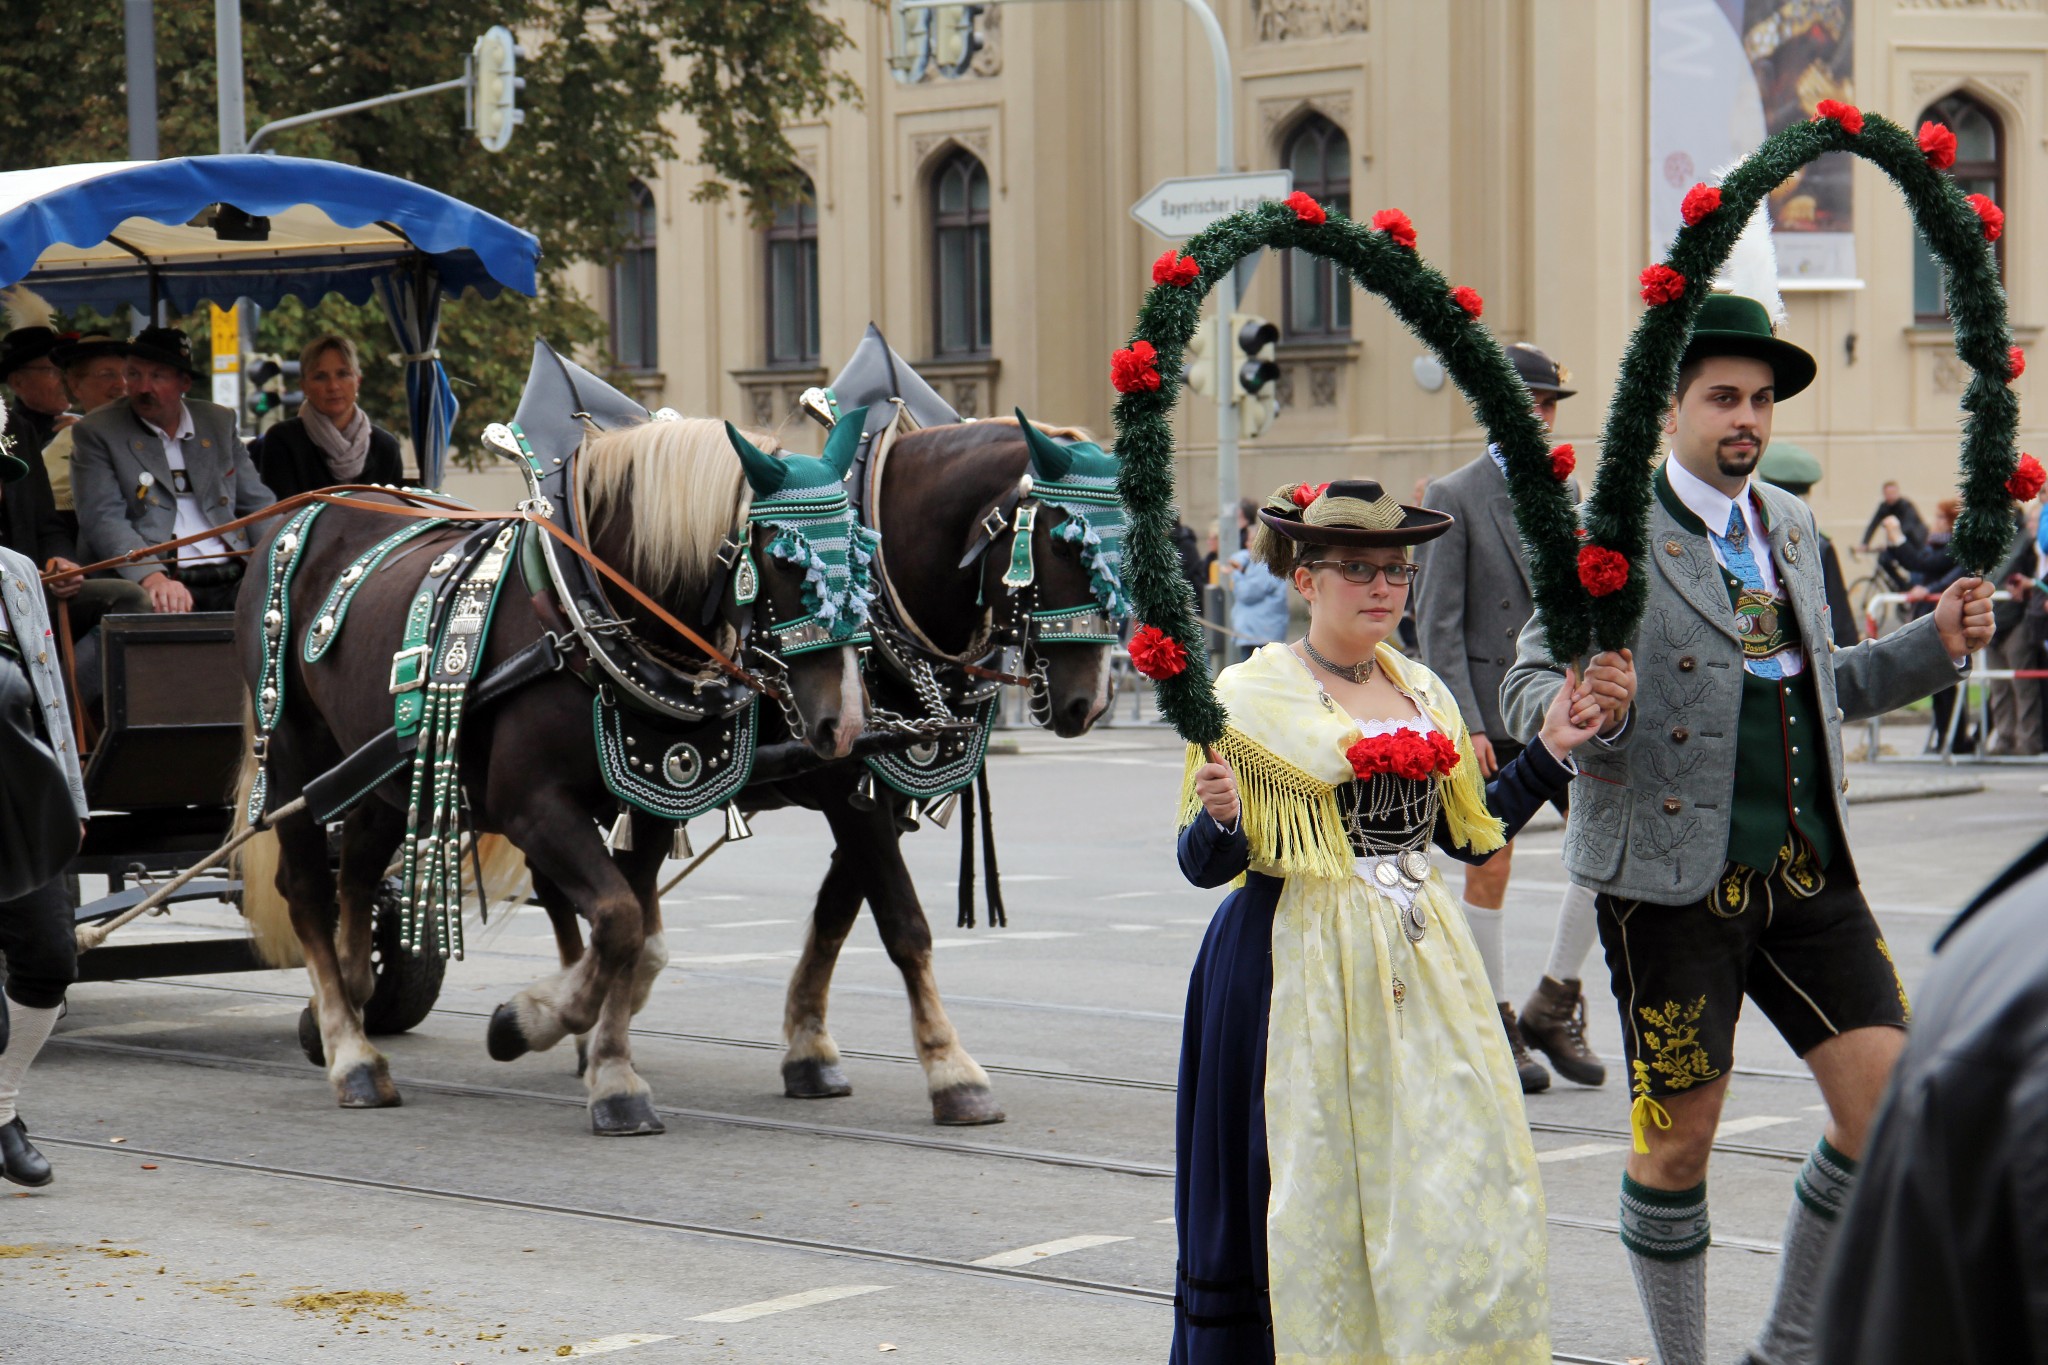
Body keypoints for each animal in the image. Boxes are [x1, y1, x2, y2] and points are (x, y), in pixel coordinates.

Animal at [239, 417, 864, 1129]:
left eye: (862, 559)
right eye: (787, 560)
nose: (846, 723)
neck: (584, 616)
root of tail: (301, 514)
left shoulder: (650, 800)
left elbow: (631, 937)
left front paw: (610, 1072)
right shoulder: (534, 808)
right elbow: (619, 921)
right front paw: (530, 1023)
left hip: (383, 764)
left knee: (360, 869)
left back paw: (343, 1002)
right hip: (292, 750)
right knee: (308, 889)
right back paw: (351, 1053)